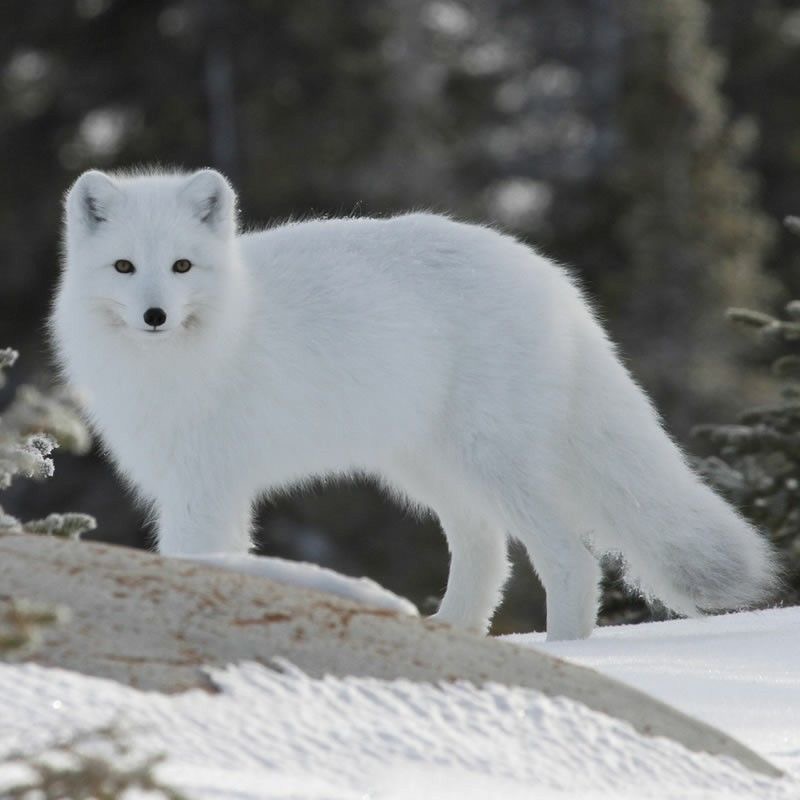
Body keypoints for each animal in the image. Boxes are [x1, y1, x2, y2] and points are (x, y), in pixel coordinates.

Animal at [50, 167, 776, 636]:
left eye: (181, 267)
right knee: (488, 551)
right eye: (123, 267)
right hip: (428, 470)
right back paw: (452, 633)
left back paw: (566, 653)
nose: (154, 316)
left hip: (490, 462)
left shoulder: (206, 486)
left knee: (570, 556)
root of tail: (552, 278)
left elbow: (197, 560)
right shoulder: (187, 484)